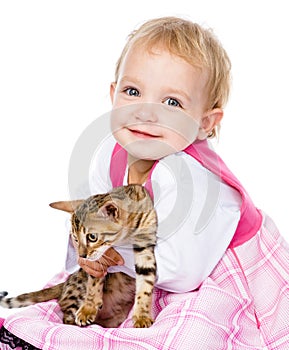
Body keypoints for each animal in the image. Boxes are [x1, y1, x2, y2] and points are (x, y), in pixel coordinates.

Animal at [0, 186, 156, 328]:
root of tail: (65, 284)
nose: (81, 256)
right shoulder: (97, 262)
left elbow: (145, 285)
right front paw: (88, 309)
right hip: (76, 292)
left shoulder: (145, 249)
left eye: (92, 237)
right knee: (67, 317)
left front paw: (142, 316)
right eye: (75, 238)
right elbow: (94, 283)